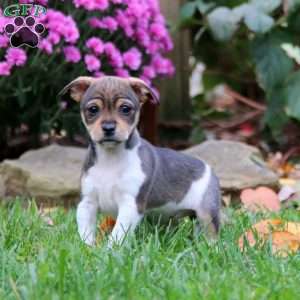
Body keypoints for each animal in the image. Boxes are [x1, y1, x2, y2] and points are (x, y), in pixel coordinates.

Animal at [61, 75, 220, 246]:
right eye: (93, 109)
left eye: (125, 109)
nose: (109, 127)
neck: (110, 158)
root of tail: (207, 167)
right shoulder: (87, 204)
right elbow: (85, 232)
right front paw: (88, 248)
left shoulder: (130, 206)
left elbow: (117, 234)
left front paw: (109, 250)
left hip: (206, 214)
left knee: (211, 236)